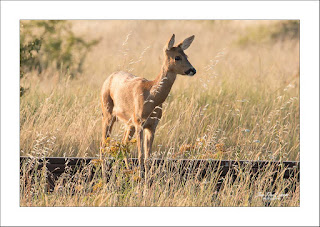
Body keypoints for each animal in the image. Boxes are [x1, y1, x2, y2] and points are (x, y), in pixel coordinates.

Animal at [100, 34, 195, 178]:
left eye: (187, 55)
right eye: (177, 57)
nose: (192, 70)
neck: (152, 97)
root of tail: (108, 78)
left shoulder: (152, 125)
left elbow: (148, 157)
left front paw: (147, 178)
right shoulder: (140, 122)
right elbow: (140, 155)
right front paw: (141, 177)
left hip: (129, 123)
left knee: (123, 144)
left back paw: (127, 171)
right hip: (108, 114)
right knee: (103, 144)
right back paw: (104, 173)